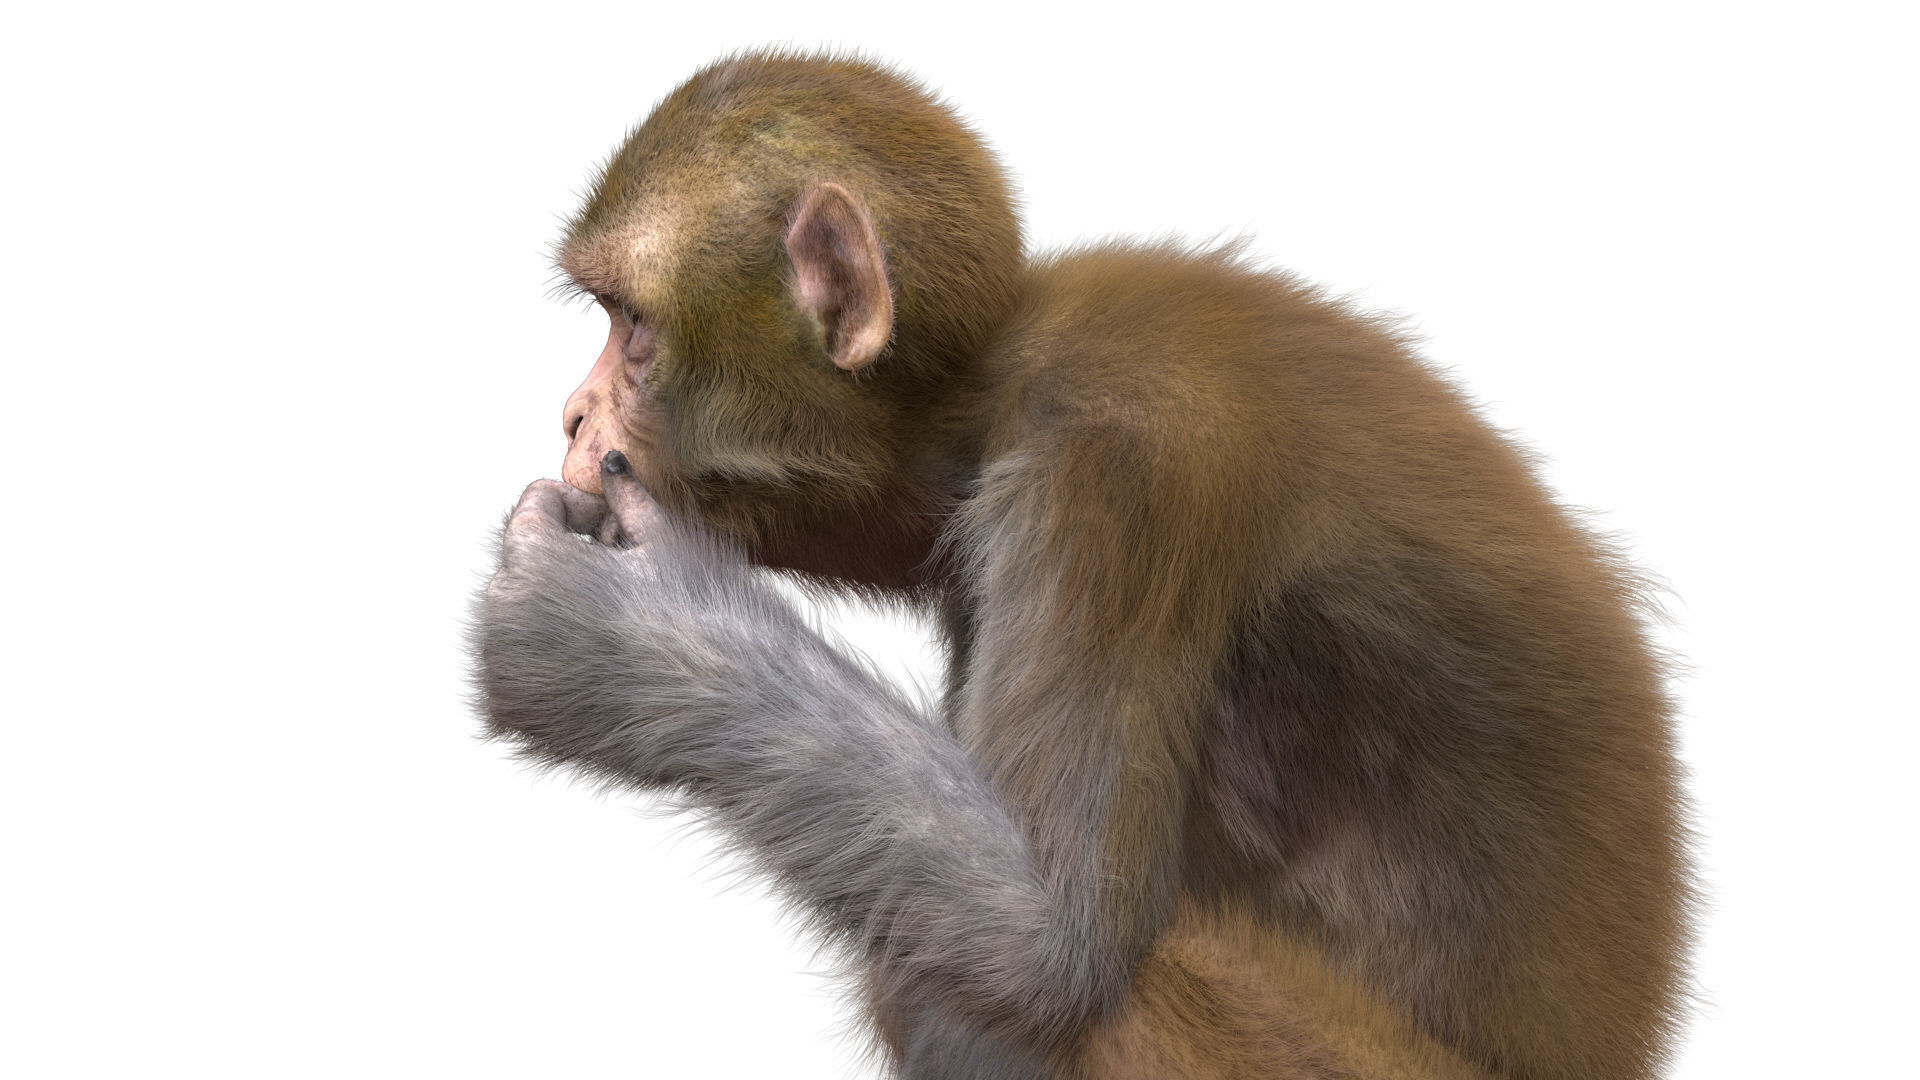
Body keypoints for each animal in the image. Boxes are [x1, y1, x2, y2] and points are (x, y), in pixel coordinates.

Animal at [472, 51, 1692, 1080]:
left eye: (631, 328)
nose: (573, 411)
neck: (981, 402)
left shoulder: (1117, 462)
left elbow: (1049, 938)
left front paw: (622, 634)